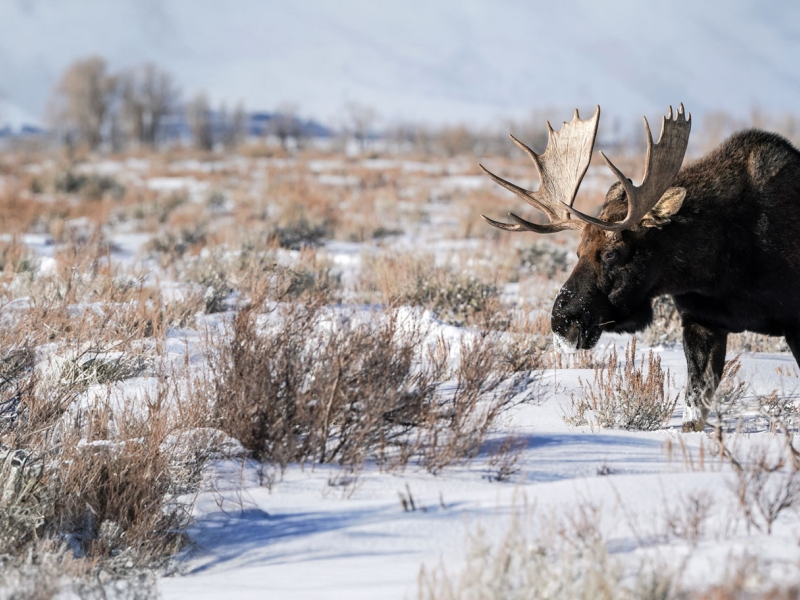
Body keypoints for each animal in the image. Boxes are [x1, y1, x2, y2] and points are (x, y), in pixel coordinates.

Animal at [481, 105, 800, 431]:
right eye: (578, 251)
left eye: (611, 253)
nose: (561, 324)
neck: (718, 267)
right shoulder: (702, 321)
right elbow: (694, 408)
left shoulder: (796, 325)